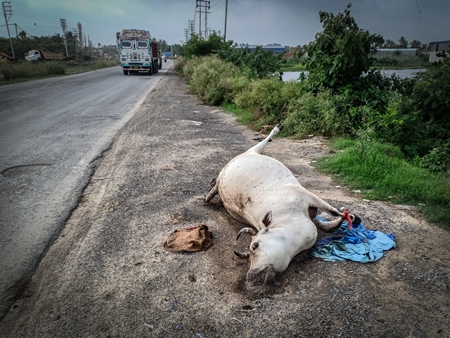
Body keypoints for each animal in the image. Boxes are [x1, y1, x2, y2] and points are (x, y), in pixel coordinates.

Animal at [207, 124, 358, 294]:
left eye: (255, 246)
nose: (251, 277)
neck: (286, 218)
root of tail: (221, 176)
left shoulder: (307, 196)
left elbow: (331, 211)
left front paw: (348, 217)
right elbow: (326, 224)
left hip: (253, 151)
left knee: (263, 142)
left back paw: (277, 128)